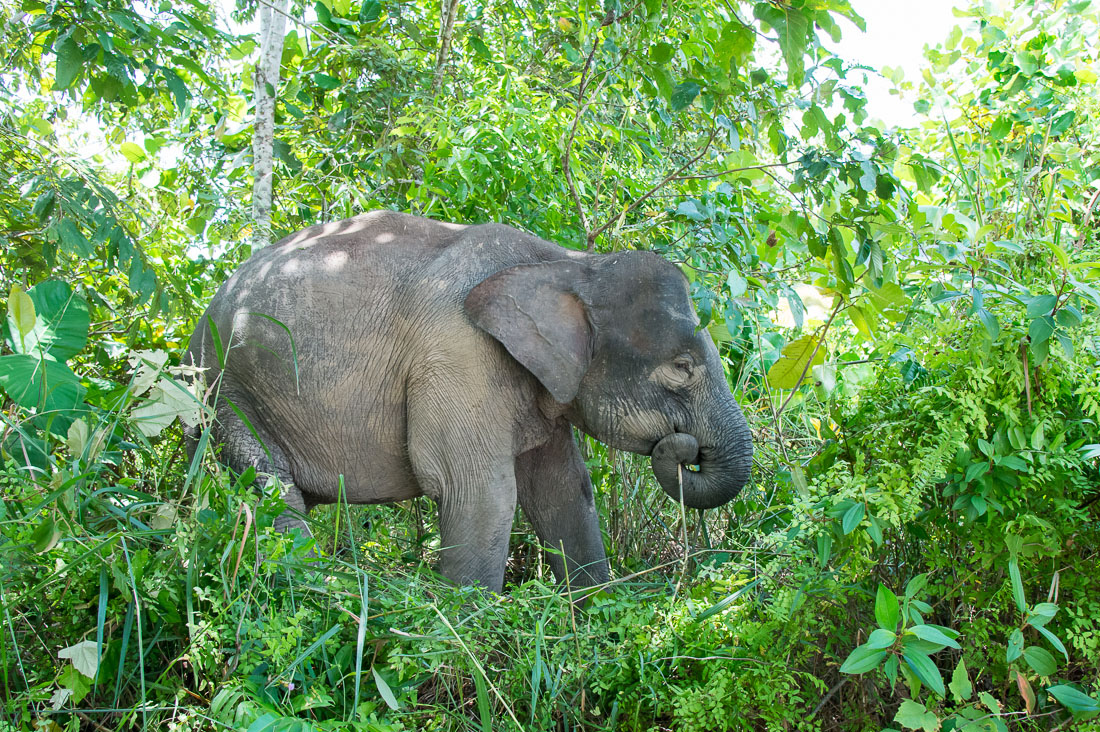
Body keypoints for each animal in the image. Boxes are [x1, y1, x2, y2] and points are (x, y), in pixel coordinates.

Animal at [187, 208, 756, 590]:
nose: (682, 449)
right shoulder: (459, 353)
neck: (565, 263)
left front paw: (593, 606)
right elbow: (478, 488)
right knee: (268, 489)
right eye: (682, 367)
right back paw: (318, 587)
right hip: (224, 391)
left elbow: (564, 490)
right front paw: (468, 631)